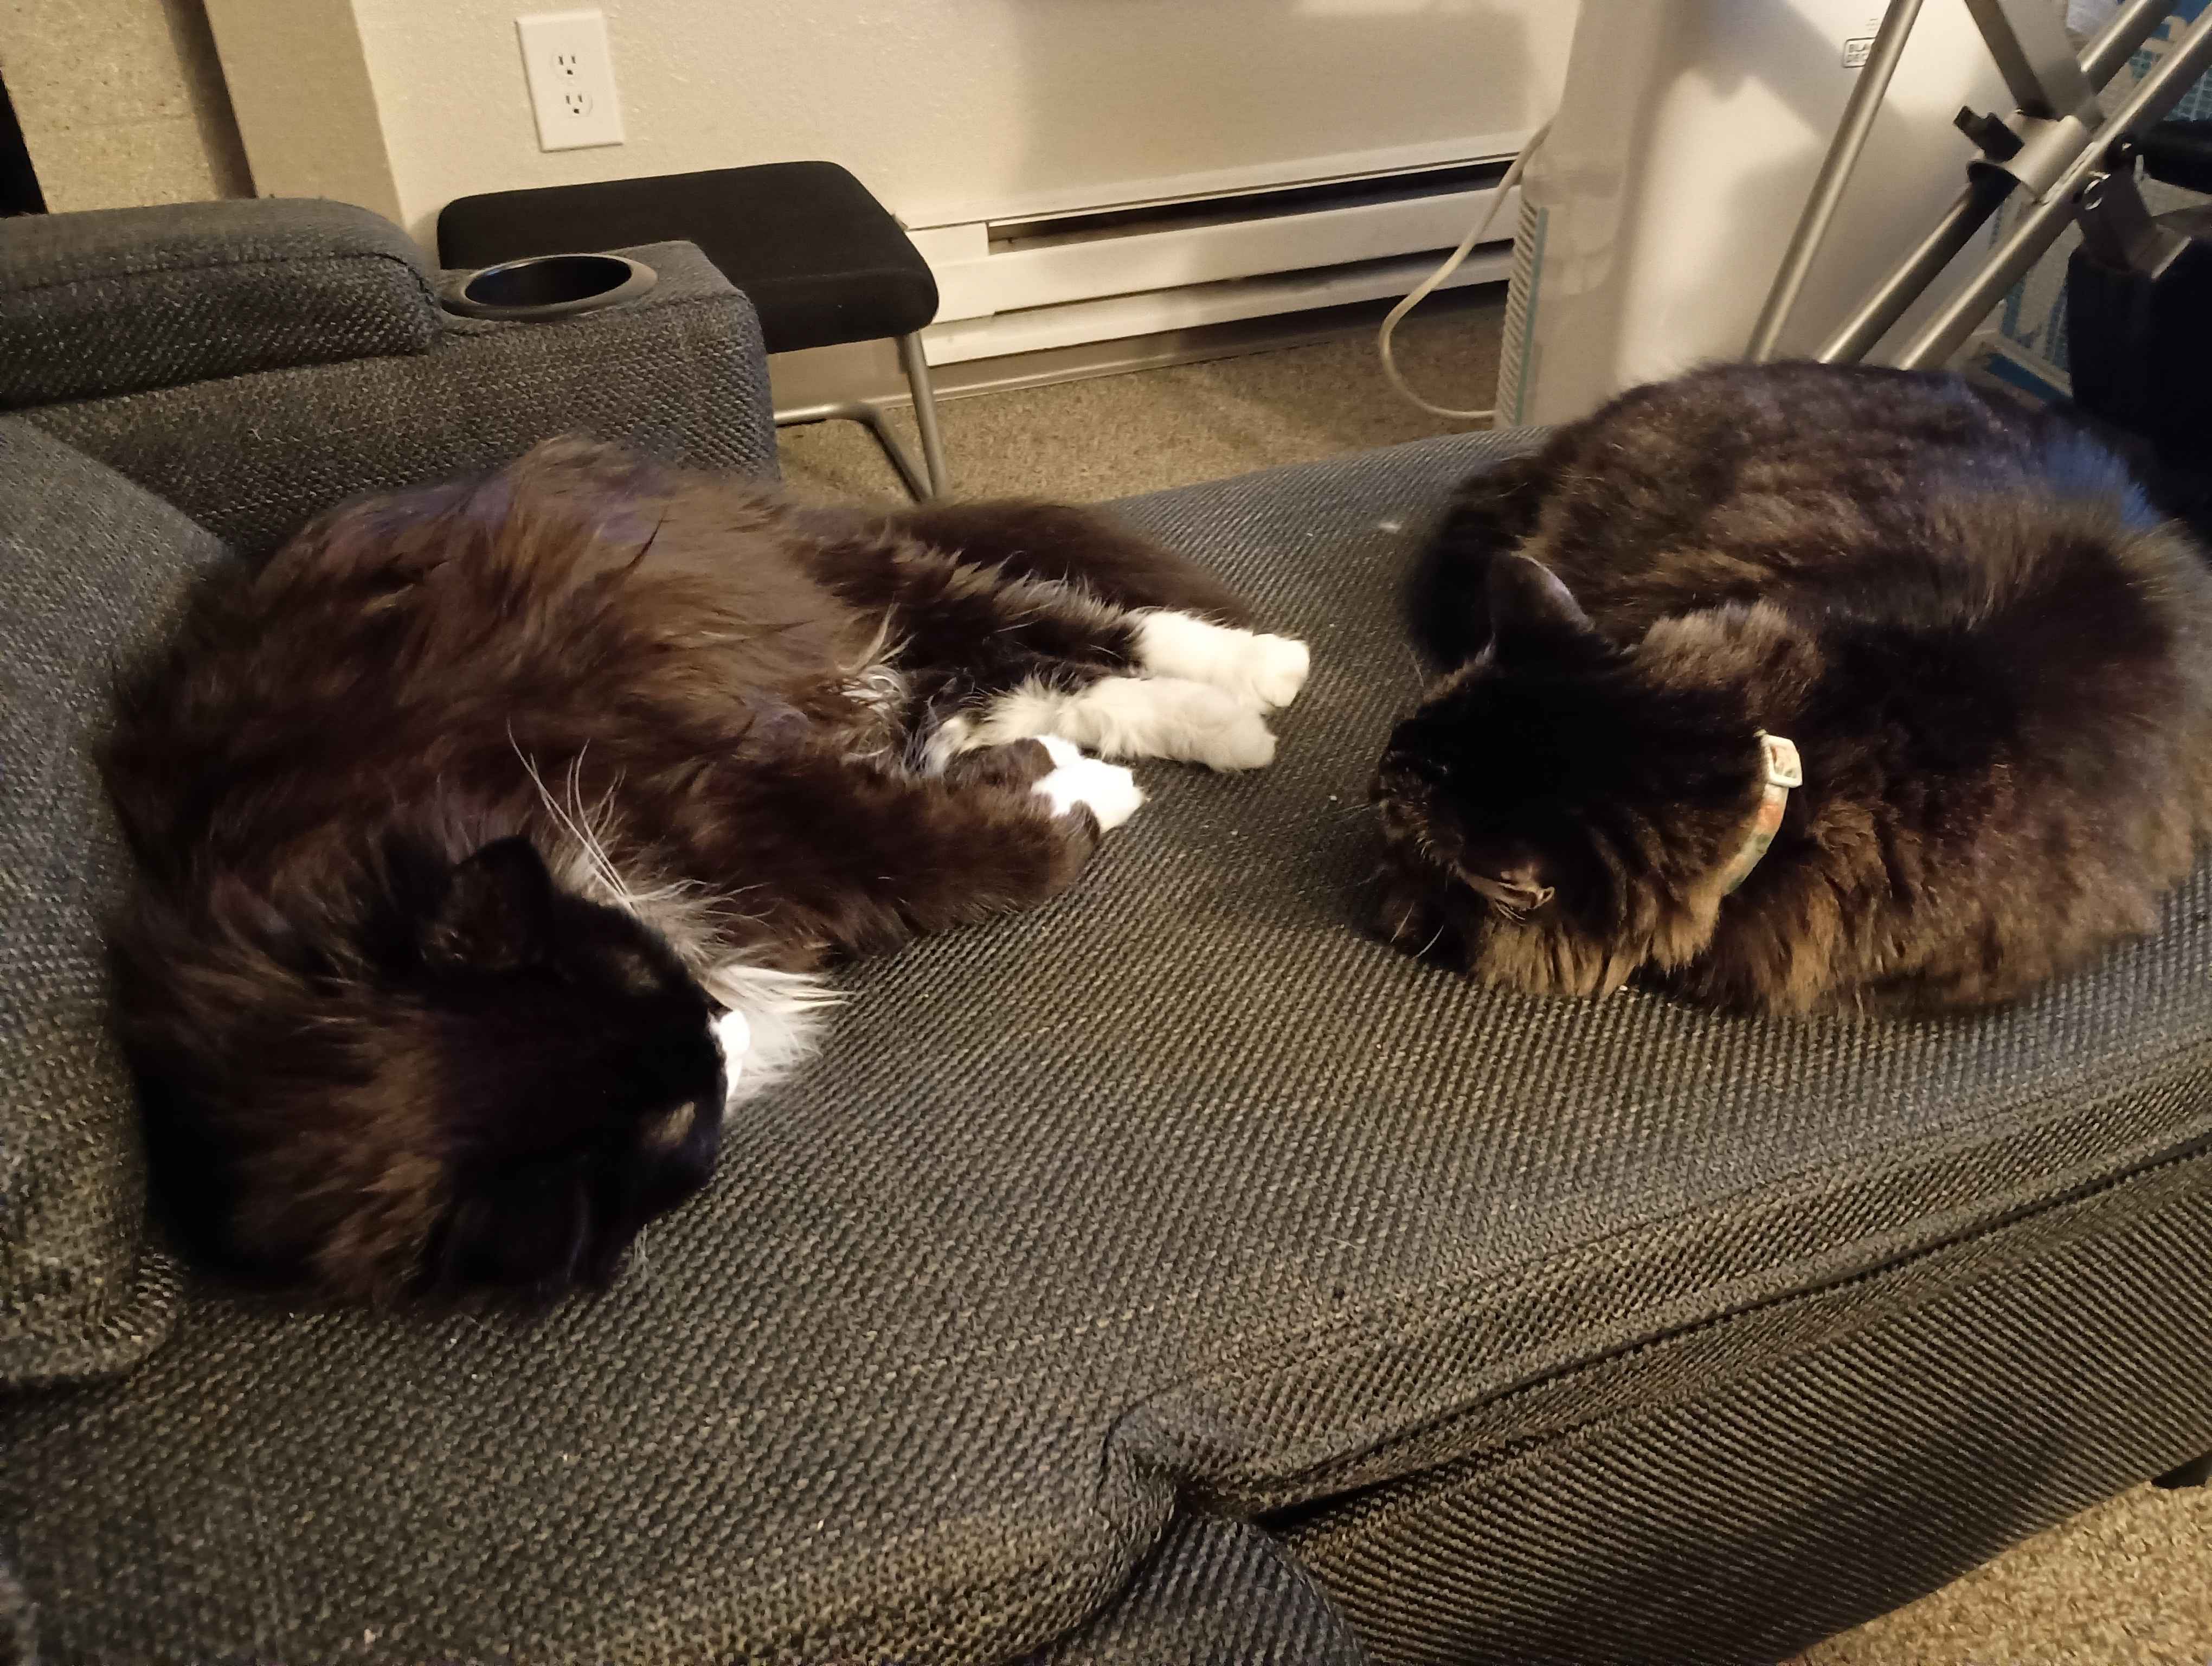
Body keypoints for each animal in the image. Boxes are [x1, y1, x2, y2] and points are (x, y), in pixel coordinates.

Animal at [103, 438, 1310, 1302]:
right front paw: (1062, 780)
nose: (717, 1027)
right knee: (1028, 676)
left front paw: (1086, 795)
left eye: (642, 974)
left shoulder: (727, 790)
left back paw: (1265, 673)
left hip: (853, 593)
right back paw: (1217, 728)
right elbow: (955, 819)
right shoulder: (773, 839)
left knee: (1074, 623)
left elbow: (946, 844)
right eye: (683, 1116)